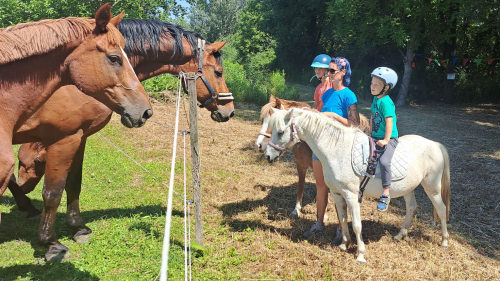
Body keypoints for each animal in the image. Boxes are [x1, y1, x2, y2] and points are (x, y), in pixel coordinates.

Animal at [5, 19, 232, 260]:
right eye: (218, 72)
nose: (229, 110)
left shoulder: (80, 138)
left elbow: (73, 183)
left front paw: (78, 227)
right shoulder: (64, 140)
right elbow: (53, 192)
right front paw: (50, 242)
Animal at [266, 107, 454, 262]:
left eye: (281, 132)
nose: (267, 155)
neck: (336, 149)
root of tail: (435, 145)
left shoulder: (351, 195)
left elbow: (356, 224)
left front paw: (360, 254)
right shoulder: (336, 193)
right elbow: (343, 219)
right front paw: (344, 244)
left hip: (432, 187)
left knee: (441, 209)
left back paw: (445, 241)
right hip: (408, 188)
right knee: (411, 208)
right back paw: (399, 236)